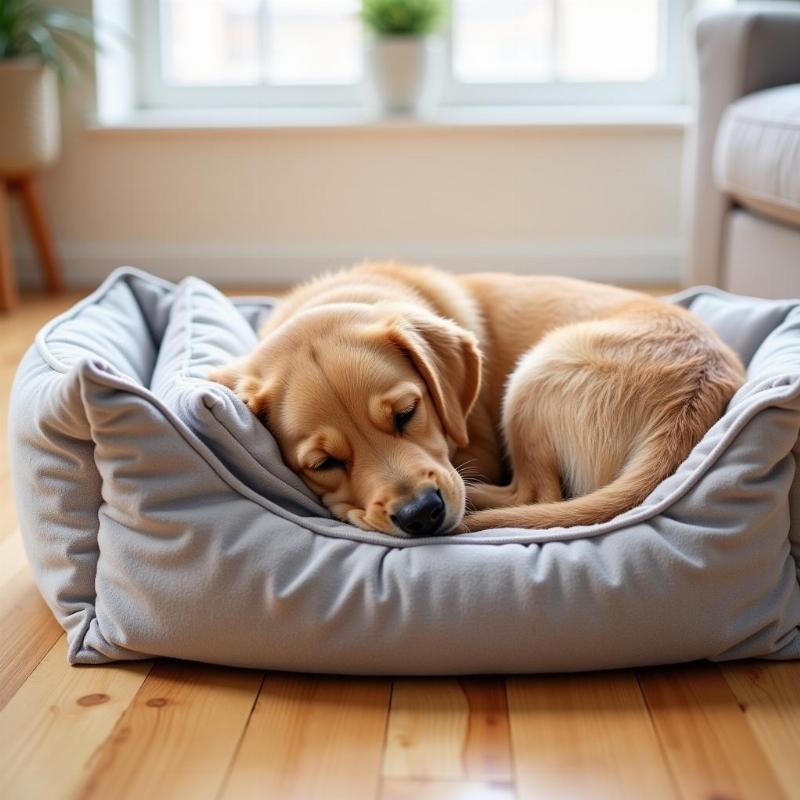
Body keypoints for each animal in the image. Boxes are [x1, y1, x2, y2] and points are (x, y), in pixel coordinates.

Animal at [208, 264, 744, 536]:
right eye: (323, 464)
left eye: (408, 413)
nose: (421, 514)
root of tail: (691, 398)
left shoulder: (478, 444)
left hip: (533, 378)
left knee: (536, 495)